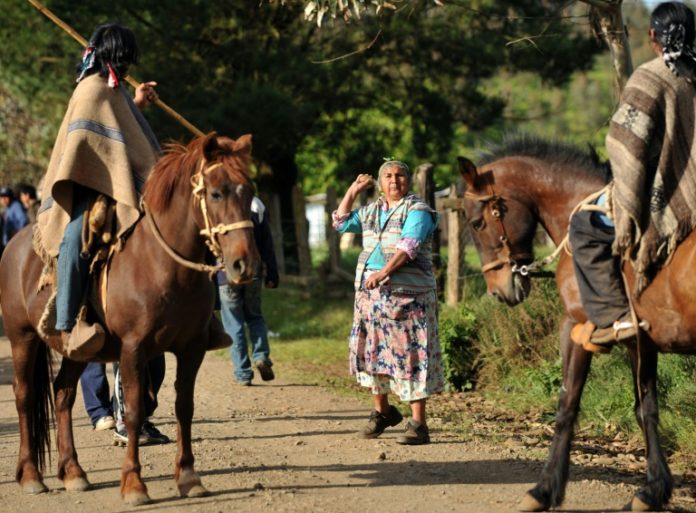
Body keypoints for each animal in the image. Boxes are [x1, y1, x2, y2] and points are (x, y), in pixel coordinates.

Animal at [0, 132, 258, 504]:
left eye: (249, 191)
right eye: (216, 192)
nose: (245, 264)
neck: (163, 266)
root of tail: (14, 247)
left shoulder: (191, 348)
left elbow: (184, 406)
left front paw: (189, 477)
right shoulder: (133, 348)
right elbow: (134, 411)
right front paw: (134, 484)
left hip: (78, 349)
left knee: (63, 393)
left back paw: (73, 472)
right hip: (22, 336)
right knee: (24, 395)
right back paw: (32, 476)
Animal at [456, 137, 696, 512]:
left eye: (478, 223)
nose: (498, 291)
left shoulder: (575, 330)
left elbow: (566, 407)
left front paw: (543, 490)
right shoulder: (639, 342)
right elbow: (647, 410)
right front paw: (654, 490)